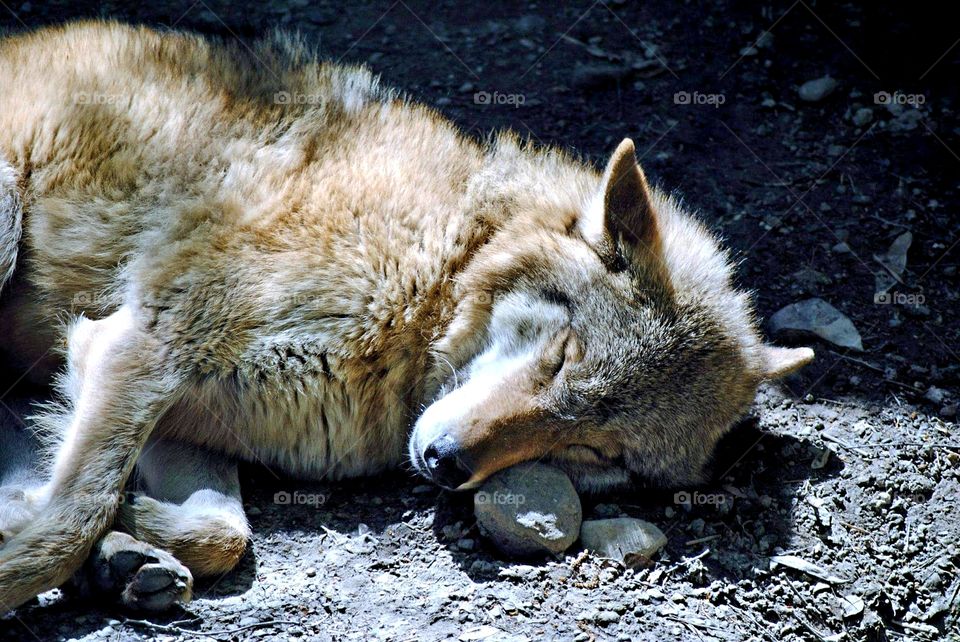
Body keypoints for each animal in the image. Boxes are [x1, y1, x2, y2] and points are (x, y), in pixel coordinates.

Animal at [0, 21, 813, 612]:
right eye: (562, 354)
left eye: (596, 450)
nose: (446, 463)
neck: (433, 276)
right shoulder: (144, 343)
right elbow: (72, 515)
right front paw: (46, 556)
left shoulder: (191, 416)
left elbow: (219, 533)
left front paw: (120, 543)